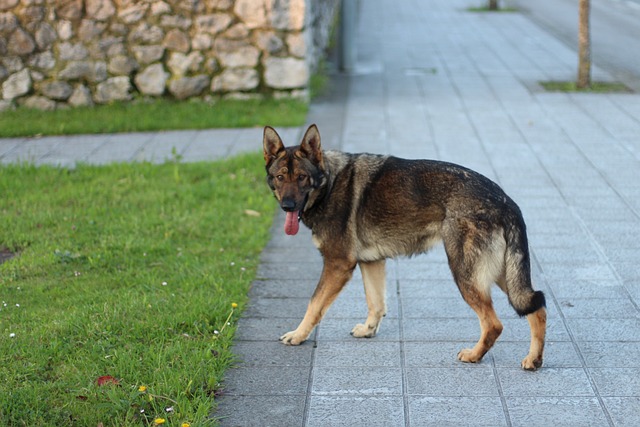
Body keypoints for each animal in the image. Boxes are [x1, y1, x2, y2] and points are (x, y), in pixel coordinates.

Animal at [262, 124, 548, 372]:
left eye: (302, 178)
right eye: (280, 177)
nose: (287, 206)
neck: (329, 183)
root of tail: (506, 201)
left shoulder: (338, 265)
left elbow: (314, 304)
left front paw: (298, 335)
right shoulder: (371, 263)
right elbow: (376, 303)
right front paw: (369, 330)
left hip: (466, 275)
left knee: (494, 324)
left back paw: (474, 355)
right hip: (501, 275)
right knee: (537, 306)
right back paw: (533, 359)